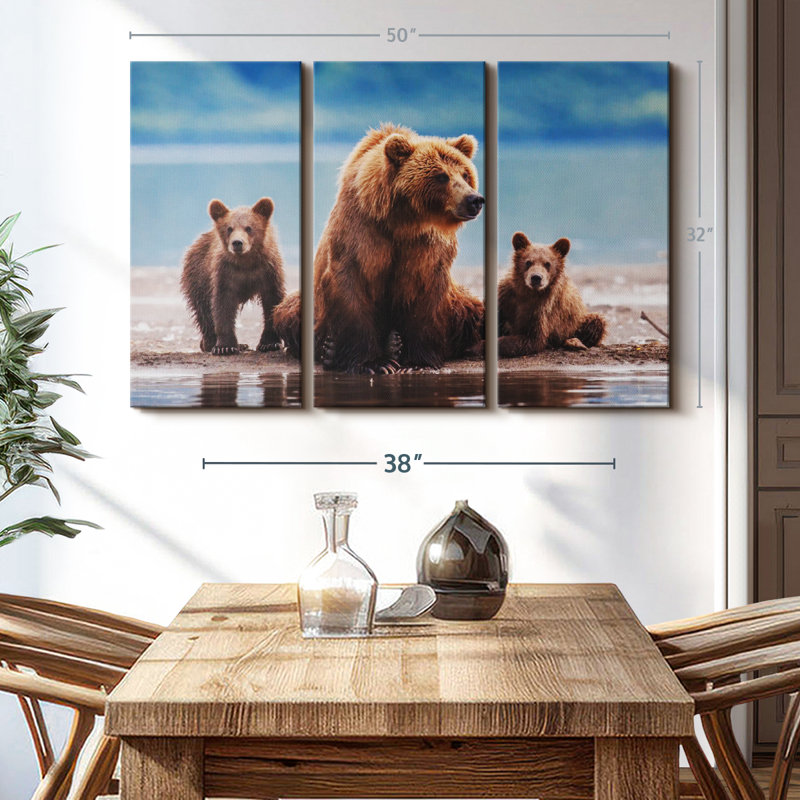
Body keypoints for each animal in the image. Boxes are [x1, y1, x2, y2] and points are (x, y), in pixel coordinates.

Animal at [180, 198, 286, 356]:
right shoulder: (225, 274)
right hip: (198, 278)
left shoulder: (269, 271)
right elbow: (223, 305)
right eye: (229, 228)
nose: (237, 243)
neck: (246, 262)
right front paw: (225, 346)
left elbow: (272, 300)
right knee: (204, 311)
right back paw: (211, 343)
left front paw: (269, 343)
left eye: (249, 228)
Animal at [272, 123, 485, 374]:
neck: (403, 221)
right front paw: (373, 364)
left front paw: (417, 362)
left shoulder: (426, 247)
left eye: (465, 174)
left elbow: (427, 293)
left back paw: (394, 343)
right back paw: (331, 349)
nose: (474, 199)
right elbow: (352, 283)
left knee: (471, 308)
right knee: (288, 312)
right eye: (441, 176)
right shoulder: (361, 231)